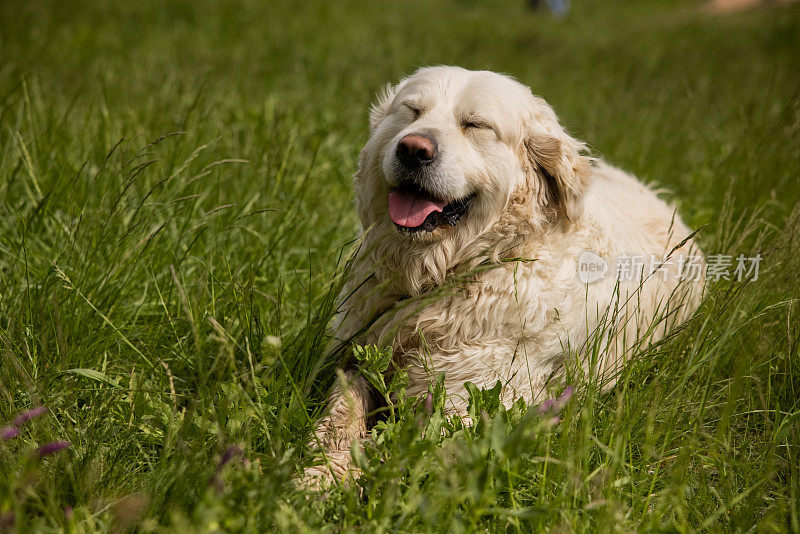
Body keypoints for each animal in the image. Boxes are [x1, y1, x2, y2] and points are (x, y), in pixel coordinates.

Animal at [304, 67, 704, 486]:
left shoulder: (469, 409)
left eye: (476, 125)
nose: (413, 148)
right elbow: (339, 416)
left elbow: (396, 449)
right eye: (411, 112)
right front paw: (317, 476)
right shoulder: (356, 358)